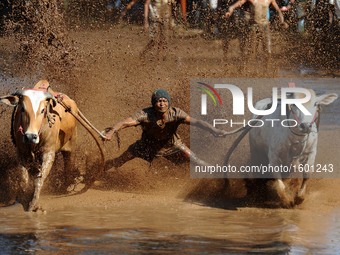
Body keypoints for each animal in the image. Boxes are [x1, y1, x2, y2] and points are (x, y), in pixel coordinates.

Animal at [0, 80, 78, 211]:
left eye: (42, 110)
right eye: (22, 108)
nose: (30, 136)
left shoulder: (48, 153)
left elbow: (39, 179)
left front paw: (34, 204)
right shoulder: (22, 153)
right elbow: (24, 179)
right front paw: (22, 199)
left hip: (71, 144)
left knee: (69, 163)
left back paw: (68, 185)